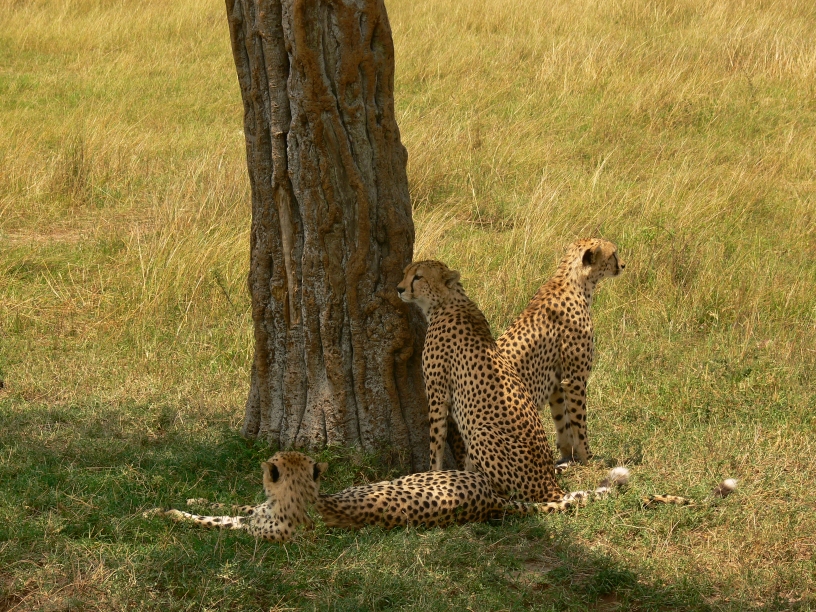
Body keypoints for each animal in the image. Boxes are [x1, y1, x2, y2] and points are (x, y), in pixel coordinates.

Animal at [397, 260, 575, 503]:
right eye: (406, 273)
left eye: (418, 277)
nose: (399, 289)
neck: (447, 301)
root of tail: (551, 484)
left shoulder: (437, 394)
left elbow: (436, 441)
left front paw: (433, 474)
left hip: (481, 433)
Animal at [497, 238, 624, 466]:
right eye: (613, 254)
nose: (624, 265)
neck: (571, 280)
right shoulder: (575, 379)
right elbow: (579, 421)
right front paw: (588, 457)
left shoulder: (557, 381)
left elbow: (562, 420)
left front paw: (568, 456)